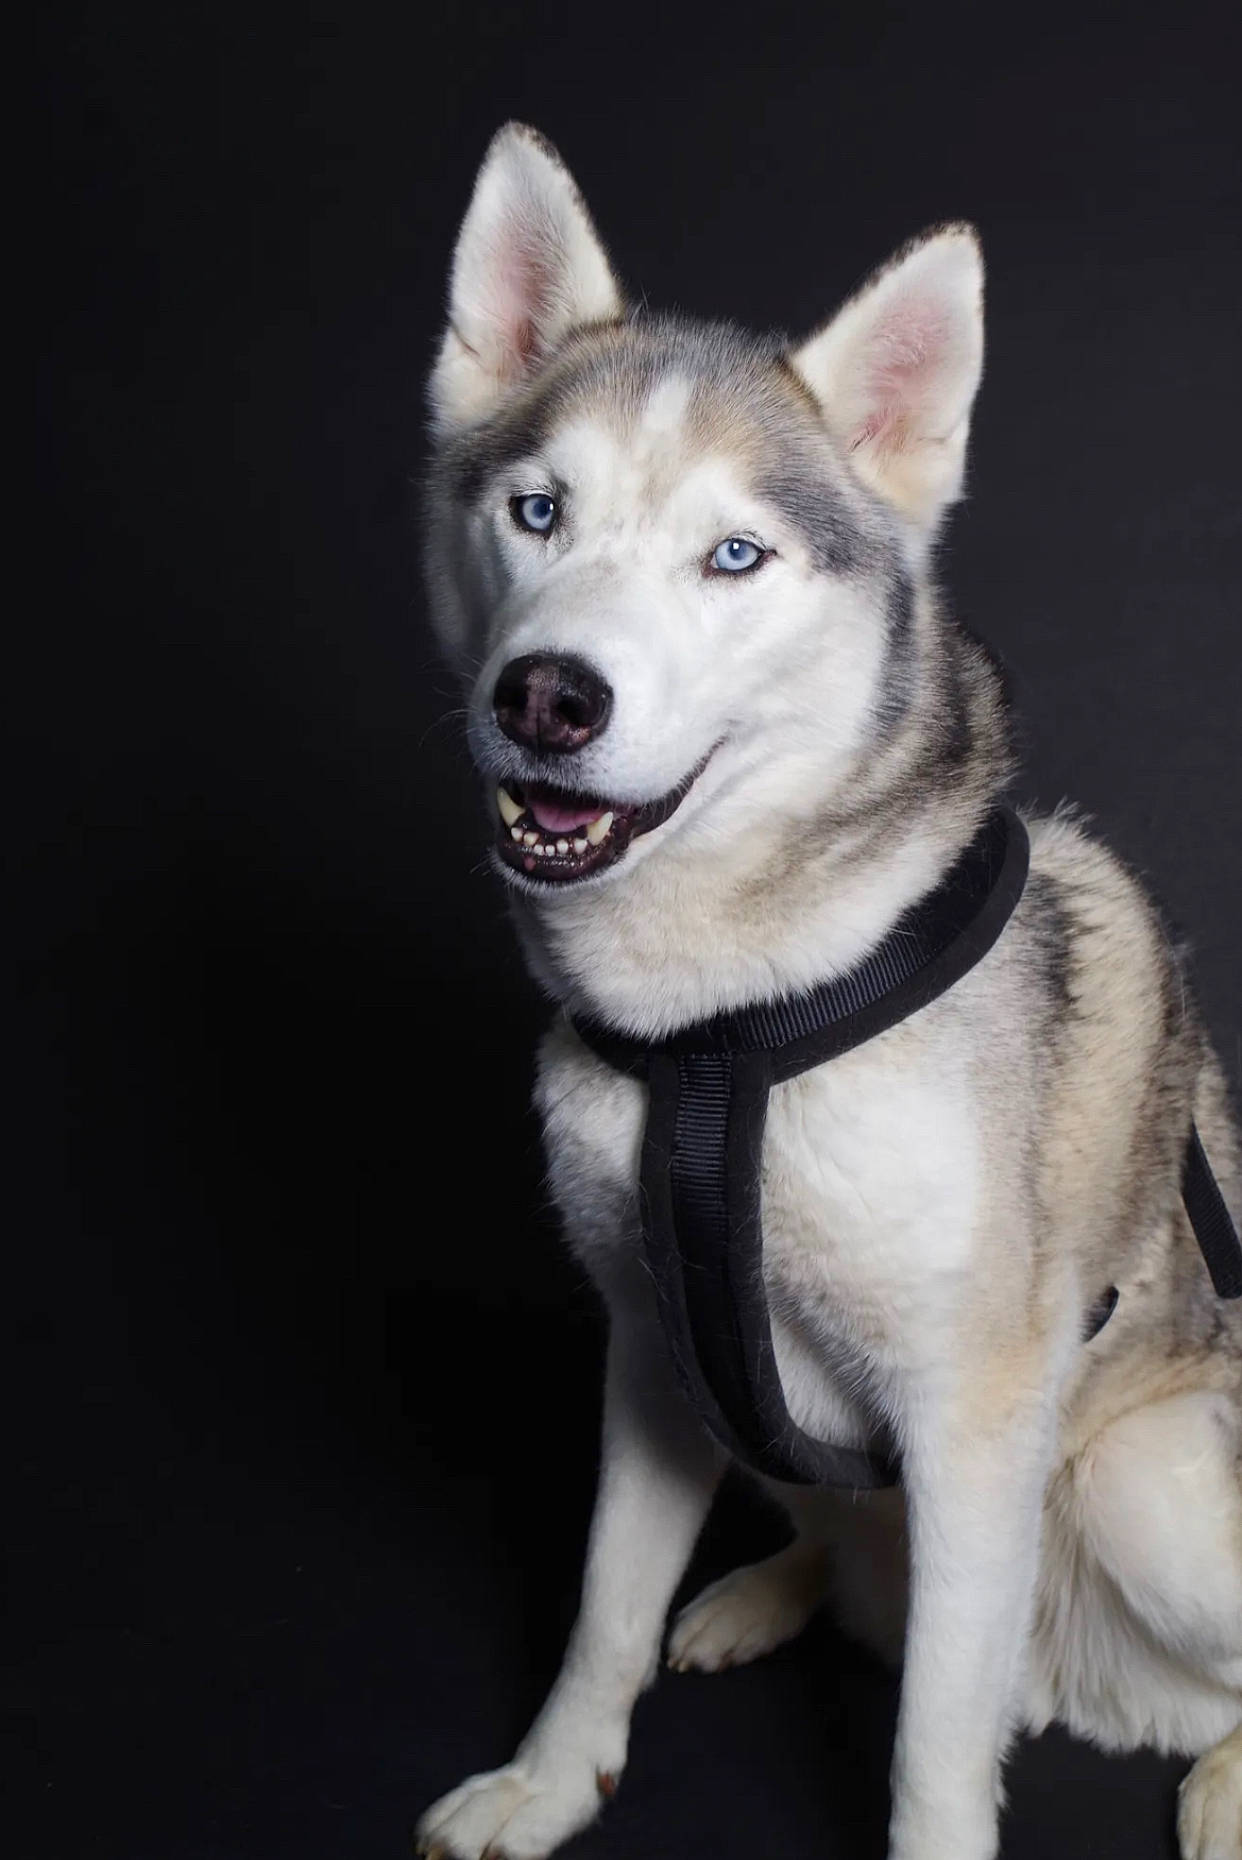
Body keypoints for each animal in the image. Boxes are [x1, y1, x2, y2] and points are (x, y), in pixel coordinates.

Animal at [415, 122, 1242, 1860]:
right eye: (537, 511)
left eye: (735, 556)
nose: (547, 696)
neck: (728, 1034)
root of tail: (1083, 1686)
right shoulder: (649, 1349)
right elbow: (599, 1604)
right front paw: (550, 1779)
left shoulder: (971, 1424)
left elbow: (932, 1740)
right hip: (754, 1425)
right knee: (831, 1549)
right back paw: (764, 1593)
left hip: (1133, 1490)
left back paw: (1219, 1778)